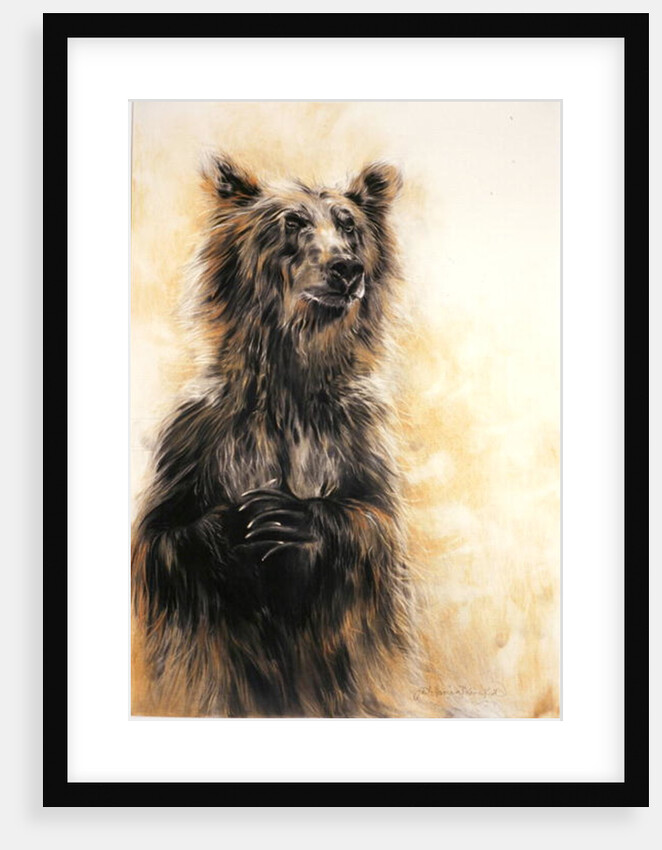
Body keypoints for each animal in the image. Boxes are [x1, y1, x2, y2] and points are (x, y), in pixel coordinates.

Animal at [131, 152, 414, 717]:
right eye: (292, 223)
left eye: (349, 226)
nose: (346, 268)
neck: (289, 386)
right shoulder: (197, 440)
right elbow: (162, 540)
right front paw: (232, 523)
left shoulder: (354, 441)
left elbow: (373, 527)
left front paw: (290, 516)